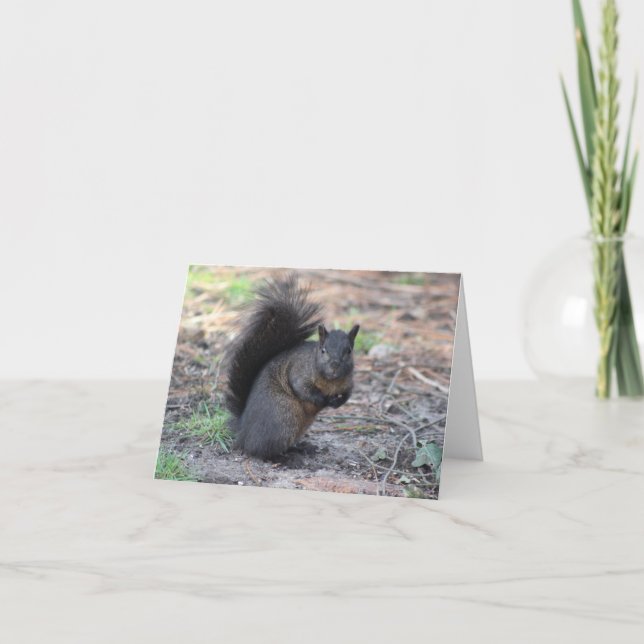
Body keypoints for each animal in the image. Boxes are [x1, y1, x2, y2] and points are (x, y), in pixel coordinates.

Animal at [224, 274, 360, 459]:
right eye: (323, 350)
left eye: (349, 351)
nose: (334, 366)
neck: (330, 381)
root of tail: (243, 433)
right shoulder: (299, 371)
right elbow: (301, 388)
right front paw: (321, 400)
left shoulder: (348, 382)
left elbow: (348, 394)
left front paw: (337, 402)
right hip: (284, 417)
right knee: (261, 451)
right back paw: (284, 458)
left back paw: (301, 448)